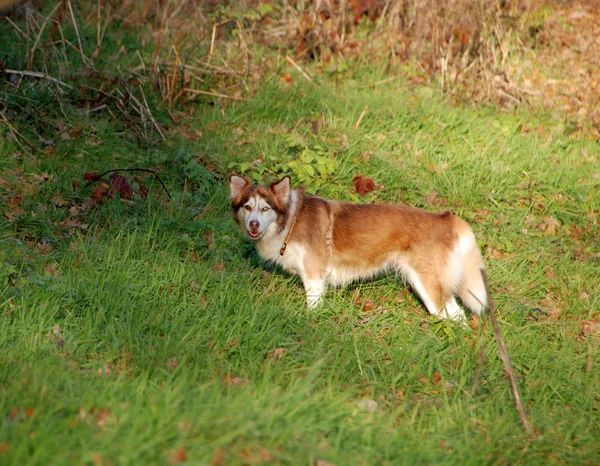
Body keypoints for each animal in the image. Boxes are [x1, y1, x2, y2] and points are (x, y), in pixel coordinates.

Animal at [230, 173, 488, 322]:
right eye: (247, 207)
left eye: (266, 208)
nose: (253, 224)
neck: (292, 221)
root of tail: (445, 219)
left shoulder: (314, 277)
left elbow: (312, 308)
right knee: (457, 314)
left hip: (427, 286)